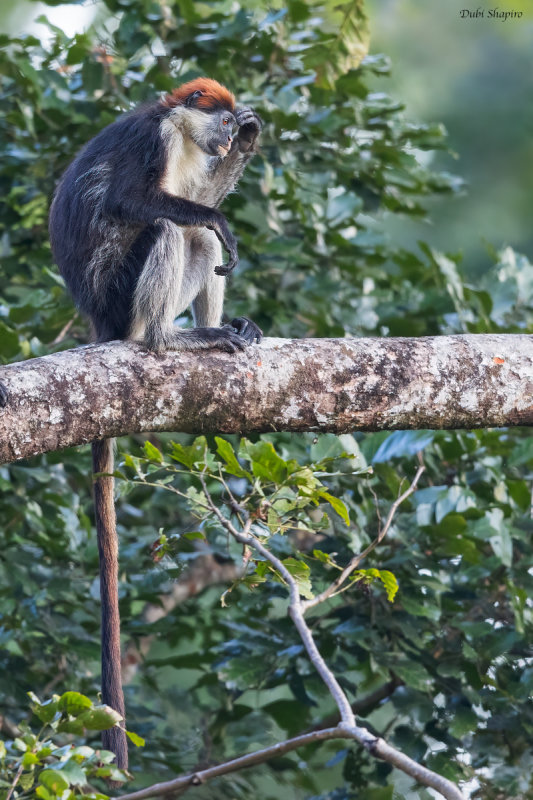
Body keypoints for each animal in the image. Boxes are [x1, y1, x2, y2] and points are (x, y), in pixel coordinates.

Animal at [47, 79, 262, 768]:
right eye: (220, 119)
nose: (232, 135)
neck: (182, 128)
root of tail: (100, 320)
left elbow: (200, 205)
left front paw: (252, 143)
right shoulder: (157, 136)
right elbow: (137, 202)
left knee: (193, 236)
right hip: (121, 295)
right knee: (174, 226)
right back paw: (164, 339)